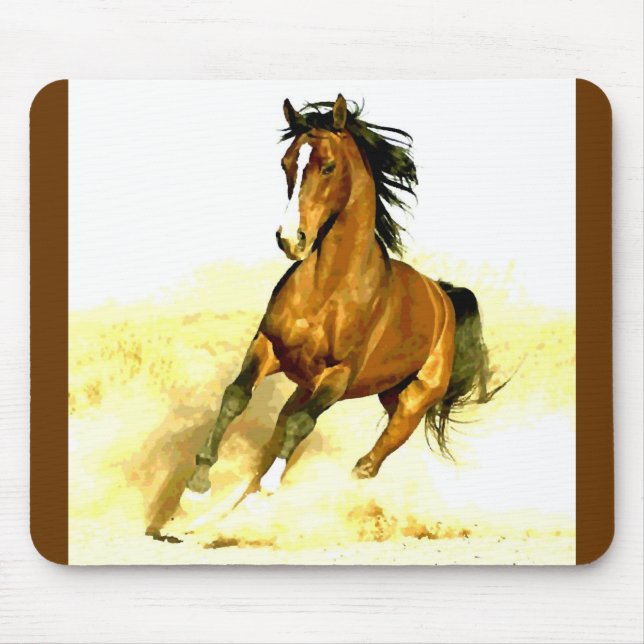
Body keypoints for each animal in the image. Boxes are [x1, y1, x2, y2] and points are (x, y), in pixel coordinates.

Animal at [184, 94, 497, 505]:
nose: (290, 239)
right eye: (287, 163)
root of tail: (442, 295)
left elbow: (301, 424)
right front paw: (198, 483)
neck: (327, 290)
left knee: (371, 459)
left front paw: (269, 484)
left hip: (410, 403)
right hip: (333, 387)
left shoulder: (339, 375)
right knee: (284, 423)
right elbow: (237, 396)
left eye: (328, 166)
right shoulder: (269, 346)